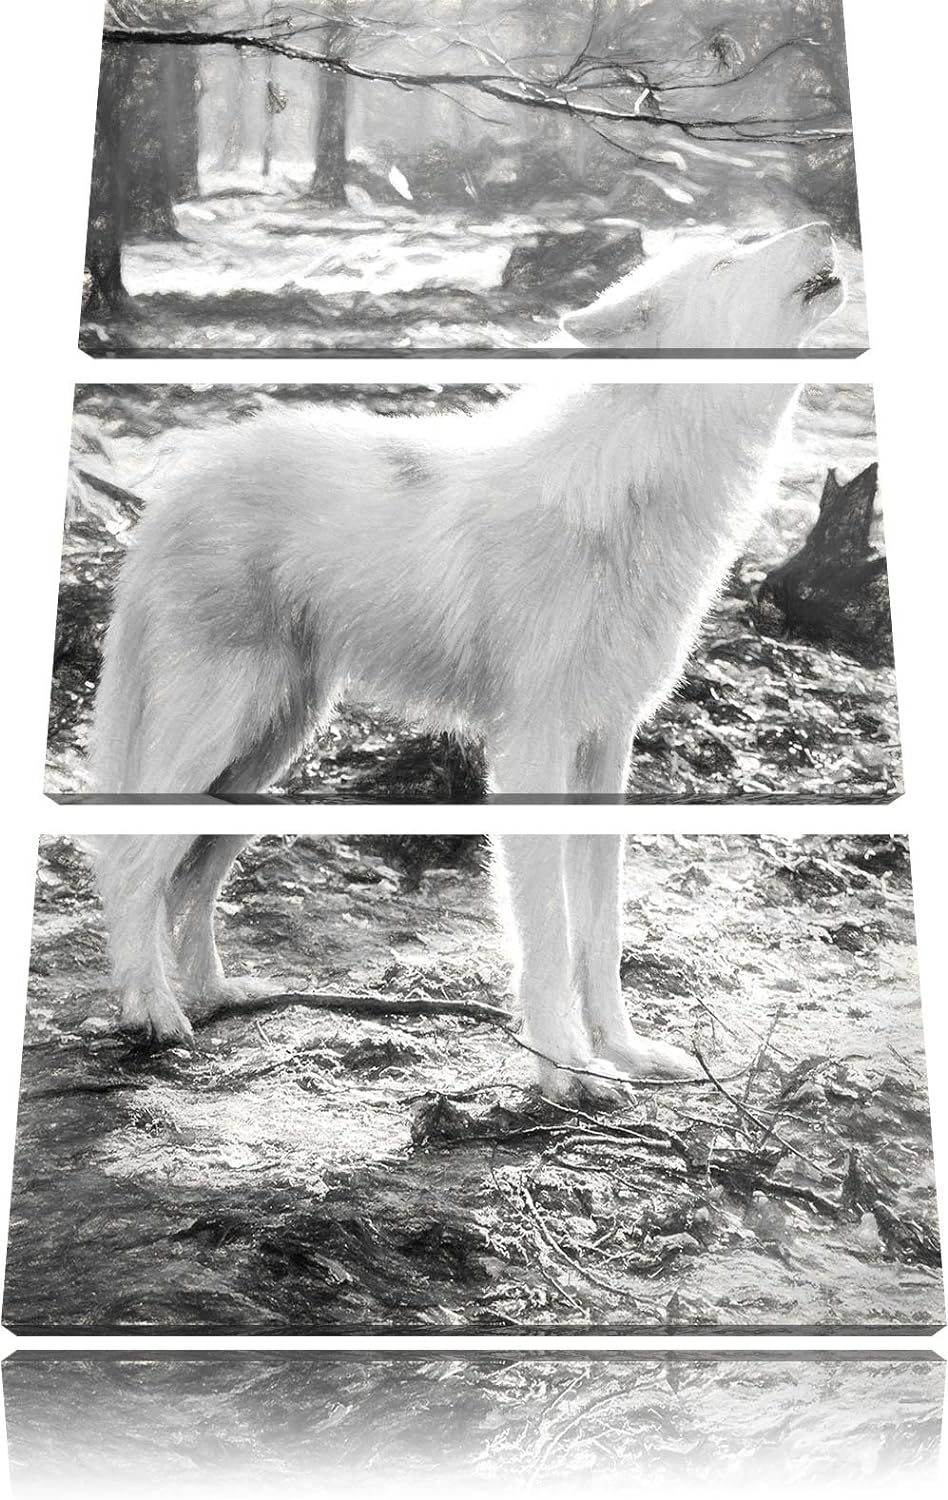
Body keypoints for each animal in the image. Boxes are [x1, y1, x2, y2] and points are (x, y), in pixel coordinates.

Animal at [88, 222, 845, 1099]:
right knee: (132, 866)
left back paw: (215, 995)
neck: (636, 480)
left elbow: (601, 928)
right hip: (219, 736)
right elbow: (548, 930)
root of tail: (174, 488)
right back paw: (153, 1015)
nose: (825, 227)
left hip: (266, 754)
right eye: (730, 260)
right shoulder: (532, 751)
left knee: (192, 878)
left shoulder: (606, 748)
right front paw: (567, 1072)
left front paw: (621, 1053)